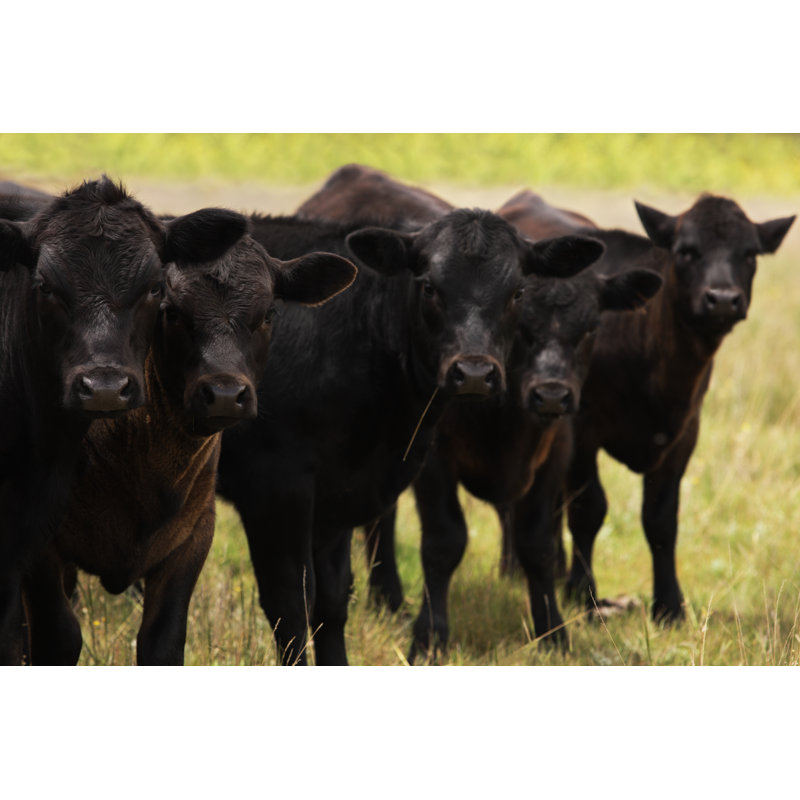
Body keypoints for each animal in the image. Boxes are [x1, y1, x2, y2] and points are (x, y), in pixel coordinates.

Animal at [21, 229, 357, 665]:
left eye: (268, 314)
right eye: (171, 311)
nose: (226, 395)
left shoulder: (190, 539)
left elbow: (162, 643)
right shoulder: (40, 544)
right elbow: (57, 637)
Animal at [216, 204, 604, 664]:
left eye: (517, 293)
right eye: (430, 287)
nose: (475, 372)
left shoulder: (339, 495)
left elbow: (332, 599)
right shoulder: (274, 488)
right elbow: (290, 604)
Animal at [498, 190, 795, 623]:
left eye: (750, 253)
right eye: (686, 251)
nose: (723, 299)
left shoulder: (684, 434)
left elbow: (661, 519)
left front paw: (669, 605)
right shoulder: (582, 426)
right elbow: (588, 509)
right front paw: (584, 595)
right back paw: (514, 570)